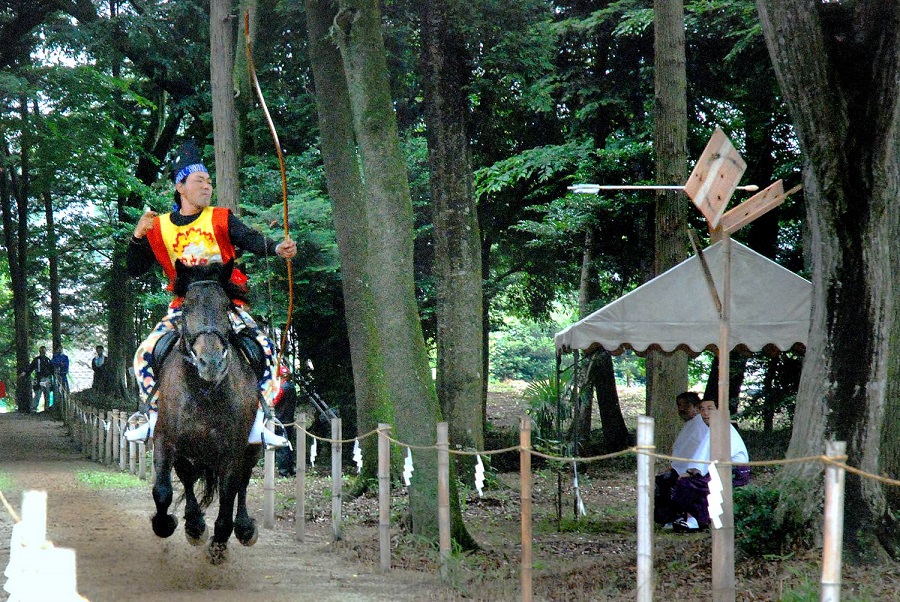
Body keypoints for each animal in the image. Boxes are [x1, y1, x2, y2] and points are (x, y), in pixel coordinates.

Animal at [149, 258, 262, 564]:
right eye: (187, 306)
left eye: (226, 306)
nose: (211, 363)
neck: (204, 392)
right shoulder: (166, 440)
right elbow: (162, 490)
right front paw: (167, 523)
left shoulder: (232, 451)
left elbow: (229, 494)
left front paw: (220, 540)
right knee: (187, 478)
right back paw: (194, 524)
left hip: (253, 446)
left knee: (243, 482)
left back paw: (243, 528)